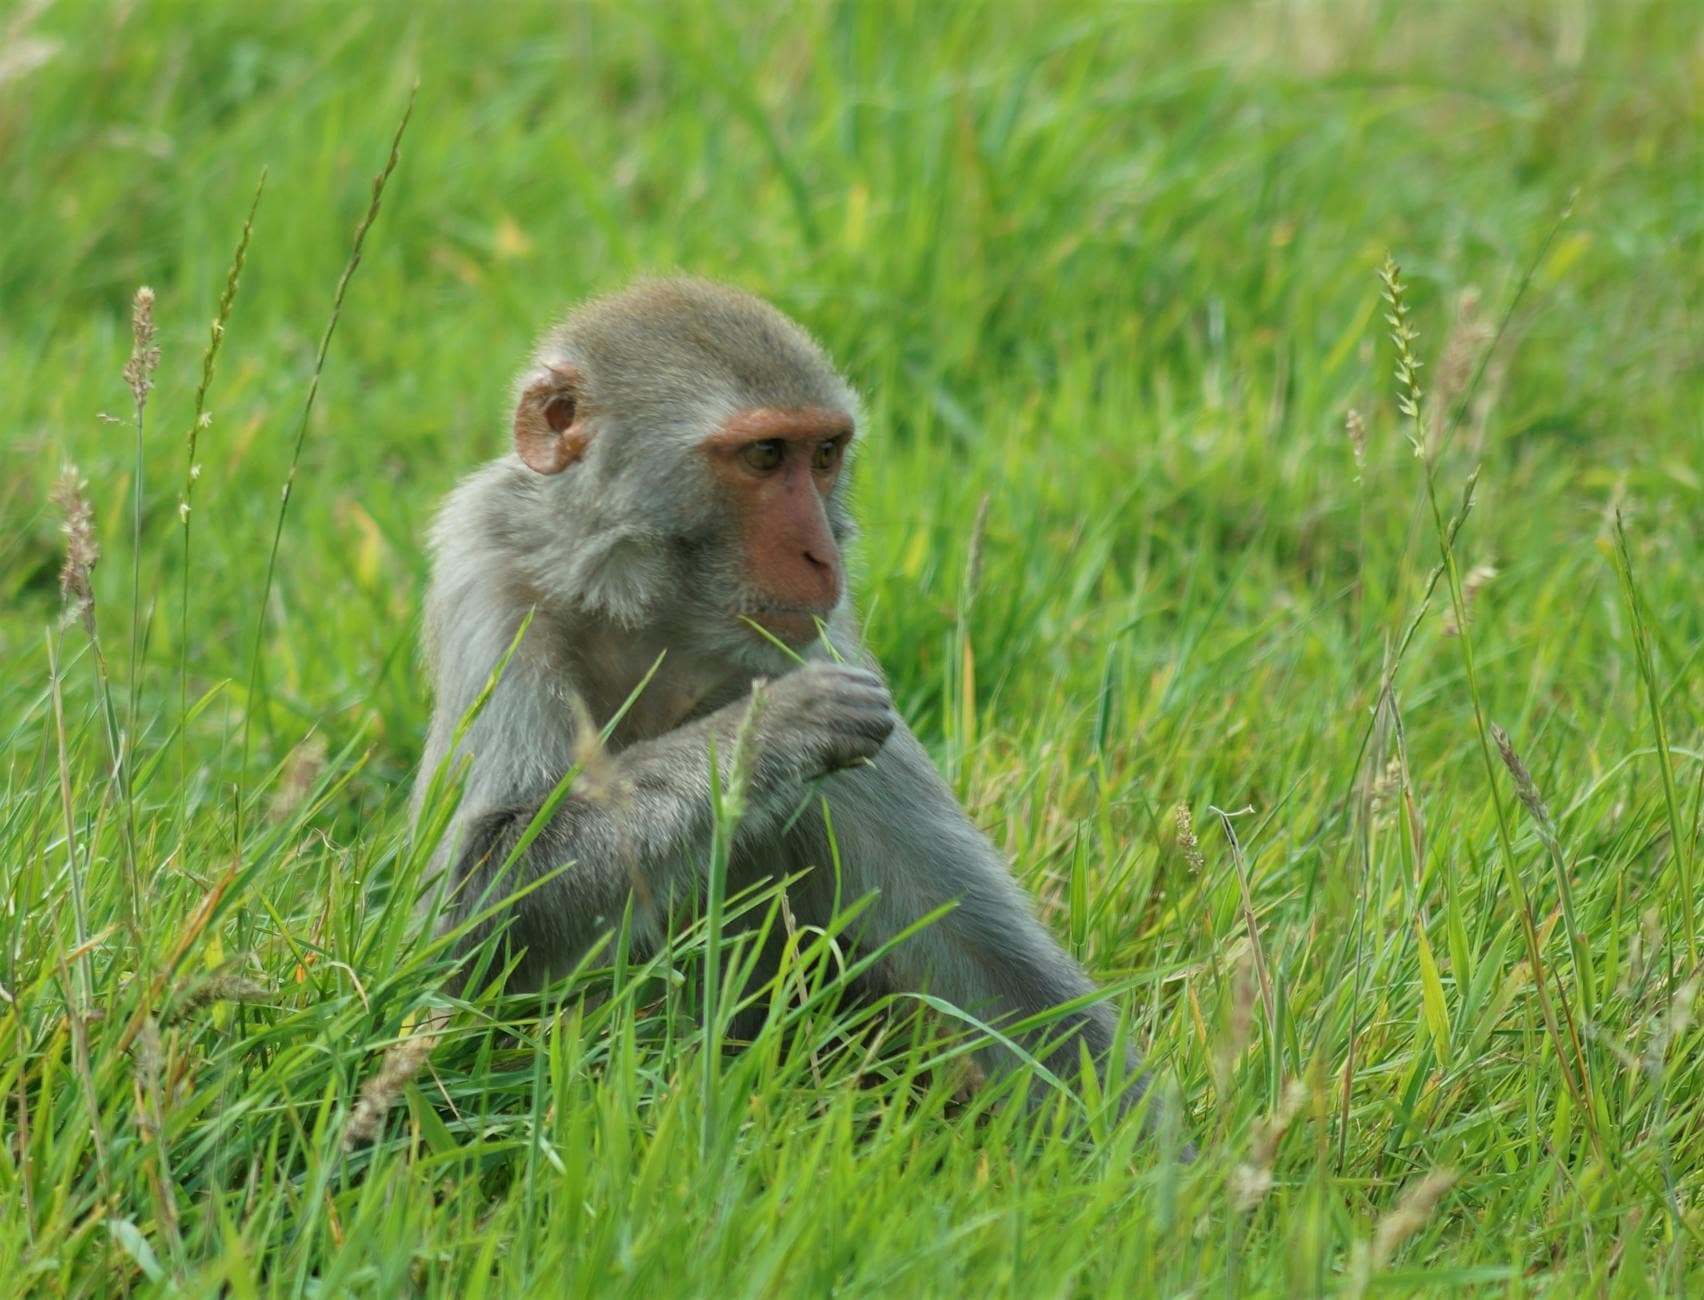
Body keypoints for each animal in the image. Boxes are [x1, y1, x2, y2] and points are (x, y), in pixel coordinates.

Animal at [412, 277, 1164, 1129]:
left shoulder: (822, 639)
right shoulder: (490, 582)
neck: (651, 613)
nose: (823, 553)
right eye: (766, 456)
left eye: (826, 455)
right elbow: (474, 910)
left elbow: (996, 964)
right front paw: (771, 731)